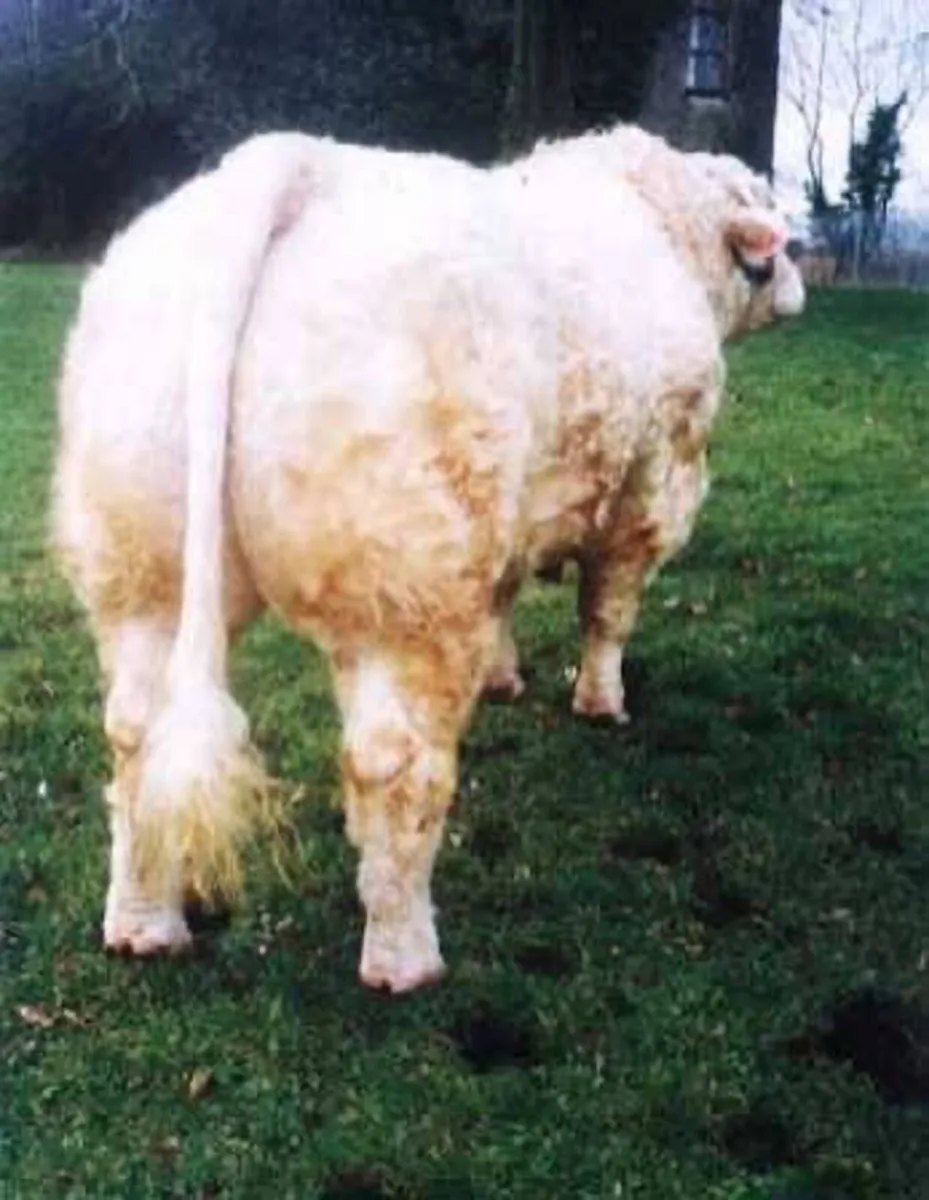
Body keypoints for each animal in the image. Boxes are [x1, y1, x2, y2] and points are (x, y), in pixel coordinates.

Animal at [52, 126, 804, 993]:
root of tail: (295, 163)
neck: (660, 225)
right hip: (407, 599)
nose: (796, 284)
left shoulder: (508, 533)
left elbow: (509, 600)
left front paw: (506, 677)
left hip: (143, 575)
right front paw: (600, 701)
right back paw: (404, 957)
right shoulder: (652, 488)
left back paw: (143, 925)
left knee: (135, 731)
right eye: (767, 232)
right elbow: (607, 612)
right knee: (393, 764)